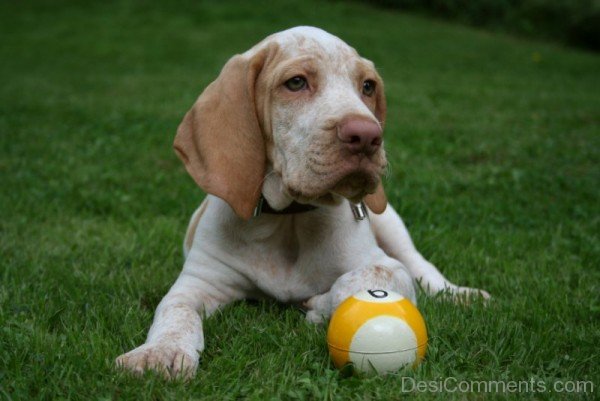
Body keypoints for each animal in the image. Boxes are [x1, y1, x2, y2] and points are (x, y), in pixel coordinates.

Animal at [116, 26, 488, 376]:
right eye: (296, 83)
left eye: (367, 87)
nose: (368, 136)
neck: (289, 218)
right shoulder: (198, 281)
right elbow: (175, 311)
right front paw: (160, 353)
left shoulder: (386, 265)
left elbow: (360, 280)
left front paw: (319, 307)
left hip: (389, 221)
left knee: (420, 265)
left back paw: (461, 294)